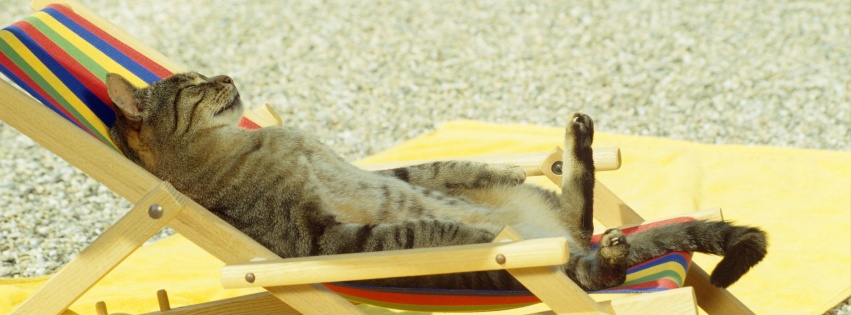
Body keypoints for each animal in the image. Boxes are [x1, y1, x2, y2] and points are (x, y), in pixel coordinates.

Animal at [105, 71, 764, 292]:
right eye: (194, 84)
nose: (224, 75)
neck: (239, 142)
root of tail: (573, 247)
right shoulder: (318, 240)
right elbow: (412, 232)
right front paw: (466, 232)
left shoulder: (372, 168)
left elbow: (432, 170)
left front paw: (487, 166)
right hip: (534, 266)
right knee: (595, 268)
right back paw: (605, 252)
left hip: (549, 211)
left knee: (579, 215)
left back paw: (577, 144)